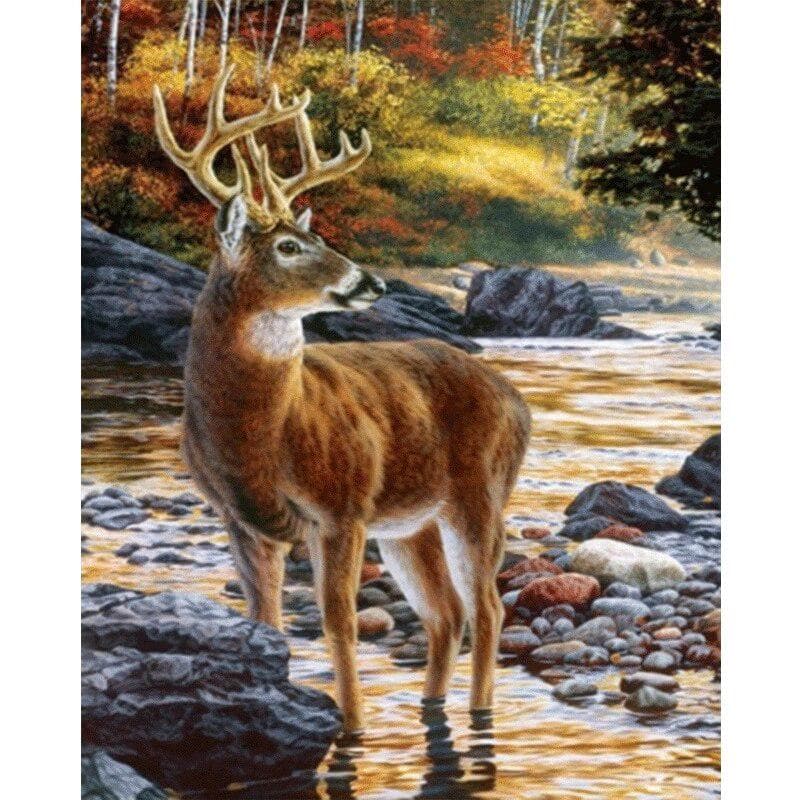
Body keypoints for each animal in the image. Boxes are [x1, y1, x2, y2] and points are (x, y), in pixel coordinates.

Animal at [153, 67, 531, 733]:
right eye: (288, 247)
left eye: (316, 234)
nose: (371, 281)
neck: (262, 436)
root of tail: (517, 402)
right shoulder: (240, 519)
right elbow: (265, 623)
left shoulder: (341, 508)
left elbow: (338, 624)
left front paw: (351, 729)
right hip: (410, 523)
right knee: (446, 613)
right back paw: (432, 706)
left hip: (479, 494)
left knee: (487, 607)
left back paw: (480, 714)